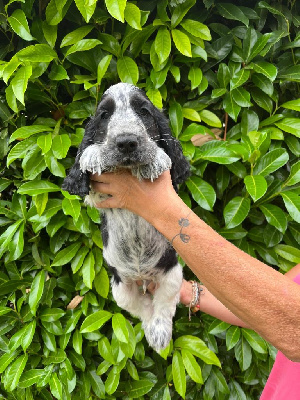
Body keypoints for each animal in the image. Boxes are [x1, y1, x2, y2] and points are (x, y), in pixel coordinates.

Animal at [62, 83, 190, 350]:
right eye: (104, 115)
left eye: (144, 111)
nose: (127, 143)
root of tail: (143, 277)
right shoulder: (96, 195)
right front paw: (92, 154)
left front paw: (157, 159)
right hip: (121, 289)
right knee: (142, 308)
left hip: (172, 275)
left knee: (164, 305)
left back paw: (159, 334)